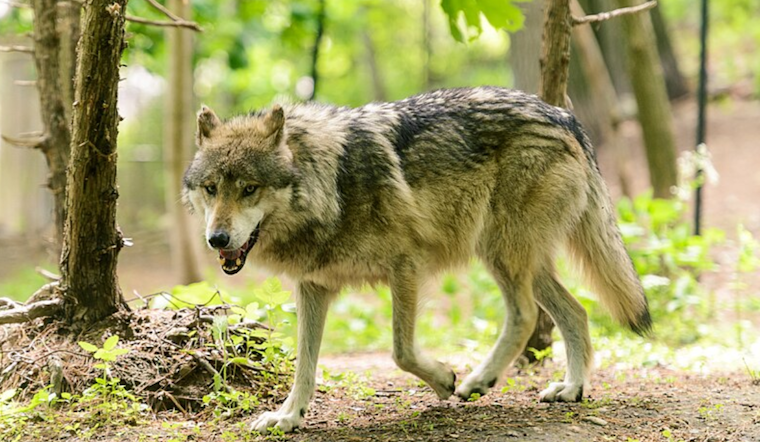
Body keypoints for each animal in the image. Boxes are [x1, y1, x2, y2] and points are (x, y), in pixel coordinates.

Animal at [182, 86, 651, 433]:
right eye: (211, 189)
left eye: (249, 189)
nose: (216, 239)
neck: (331, 183)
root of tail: (563, 116)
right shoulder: (313, 286)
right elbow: (306, 365)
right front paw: (287, 417)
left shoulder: (406, 266)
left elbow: (401, 352)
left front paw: (445, 379)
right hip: (520, 260)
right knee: (576, 312)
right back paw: (572, 389)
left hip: (500, 252)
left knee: (524, 316)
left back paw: (479, 380)